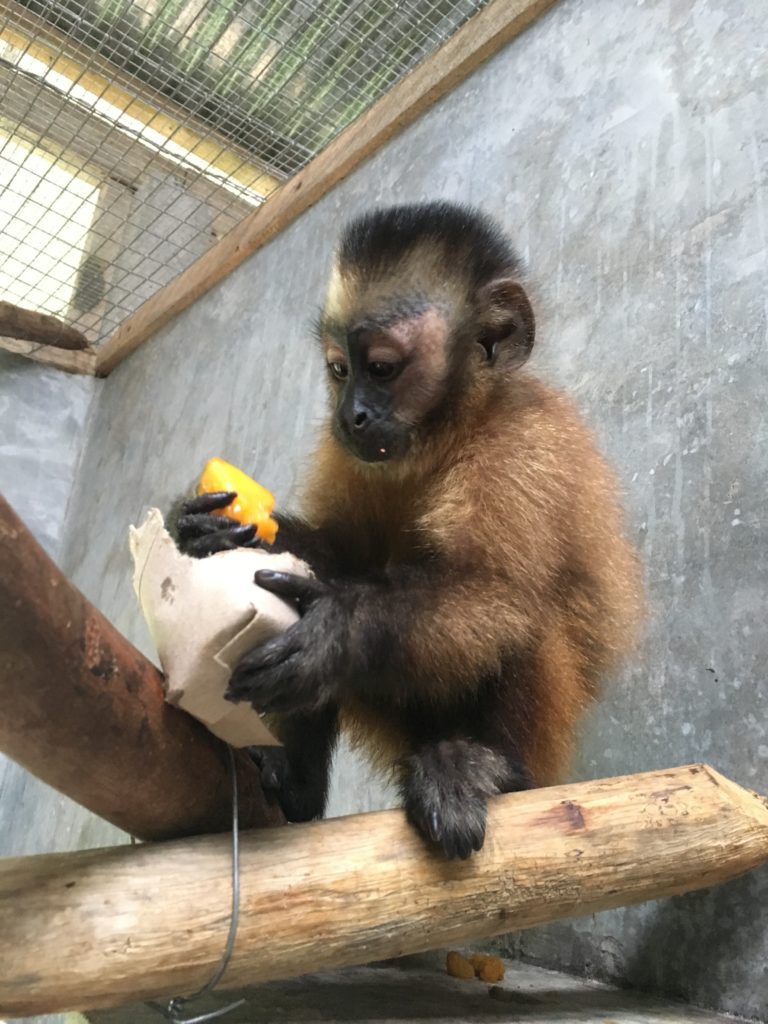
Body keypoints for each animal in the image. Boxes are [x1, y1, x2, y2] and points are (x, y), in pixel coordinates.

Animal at [175, 201, 642, 859]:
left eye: (382, 368)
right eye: (339, 370)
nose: (351, 413)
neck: (448, 434)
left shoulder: (523, 444)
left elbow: (489, 590)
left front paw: (336, 631)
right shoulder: (346, 451)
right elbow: (334, 555)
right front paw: (201, 526)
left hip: (543, 747)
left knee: (520, 615)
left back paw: (484, 769)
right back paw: (300, 787)